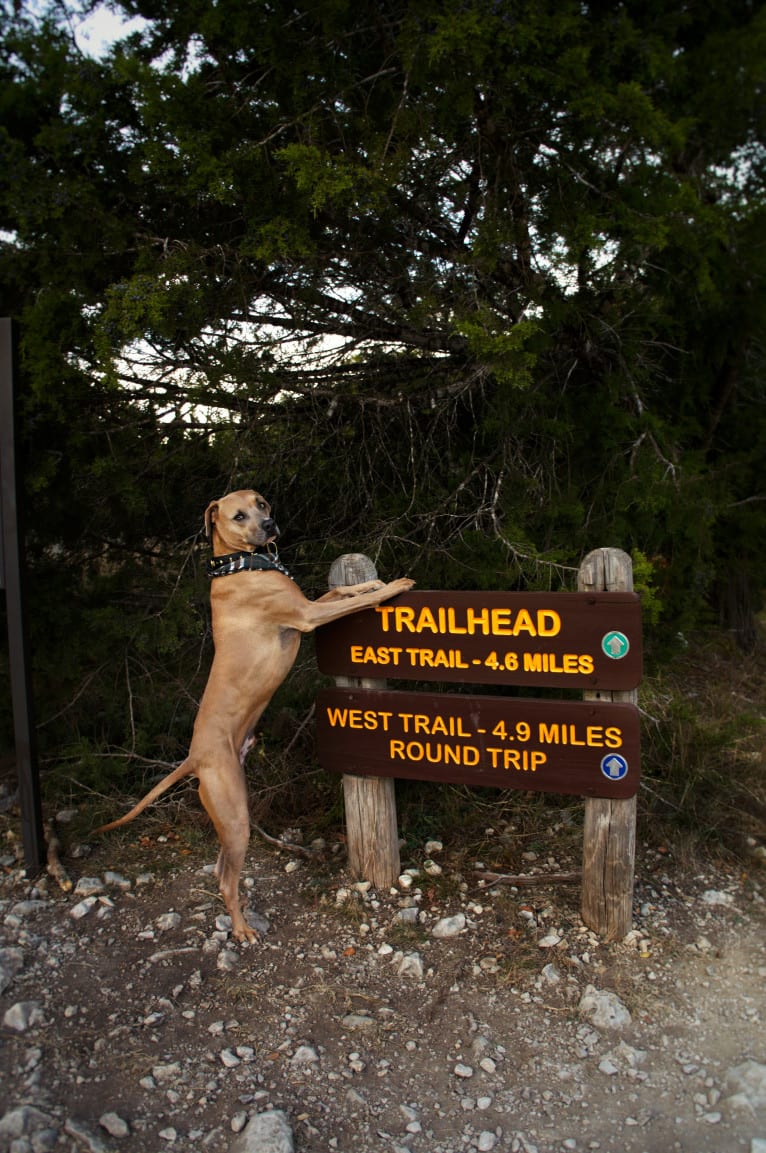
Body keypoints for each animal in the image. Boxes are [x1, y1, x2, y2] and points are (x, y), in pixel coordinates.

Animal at [99, 491, 419, 940]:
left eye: (262, 503)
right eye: (239, 515)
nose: (270, 525)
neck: (240, 564)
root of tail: (194, 758)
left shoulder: (307, 603)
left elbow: (347, 590)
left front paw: (373, 582)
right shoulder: (306, 615)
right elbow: (357, 601)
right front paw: (392, 587)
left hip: (234, 813)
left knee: (220, 870)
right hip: (235, 817)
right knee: (227, 880)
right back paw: (241, 929)